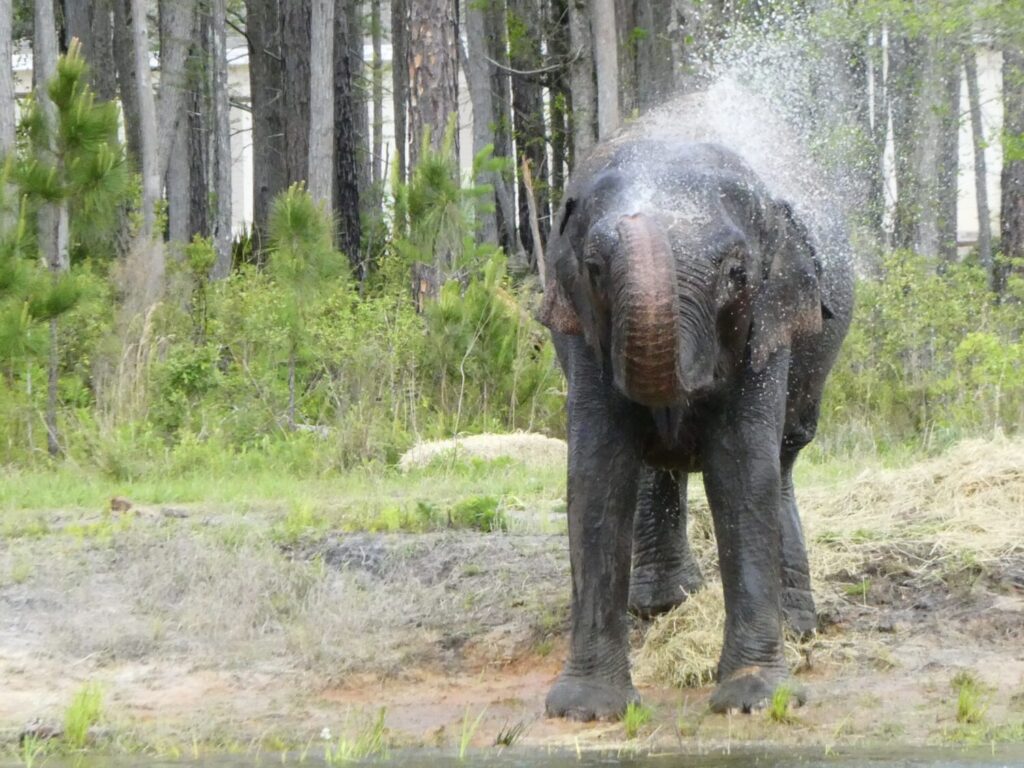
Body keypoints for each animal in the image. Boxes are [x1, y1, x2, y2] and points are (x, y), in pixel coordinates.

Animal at [537, 138, 853, 720]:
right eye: (593, 268)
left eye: (735, 274)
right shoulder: (582, 332)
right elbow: (597, 472)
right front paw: (586, 711)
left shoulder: (766, 322)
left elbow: (741, 473)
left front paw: (755, 701)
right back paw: (661, 605)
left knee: (782, 460)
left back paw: (797, 628)